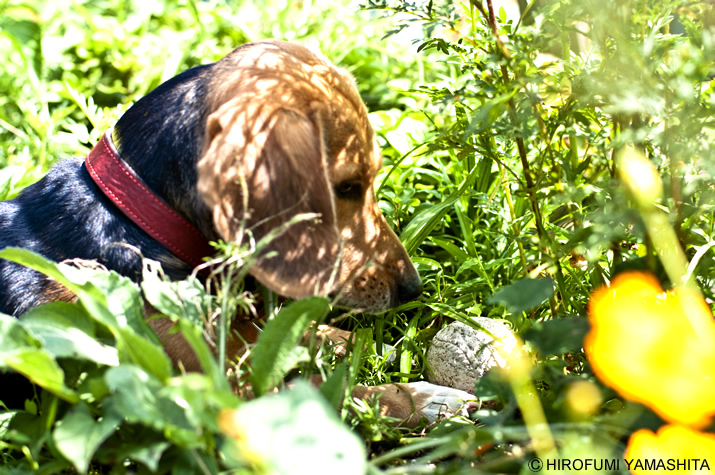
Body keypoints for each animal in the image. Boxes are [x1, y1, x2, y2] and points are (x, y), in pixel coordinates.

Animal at [1, 41, 482, 428]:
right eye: (346, 187)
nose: (413, 290)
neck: (140, 221)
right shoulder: (233, 395)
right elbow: (342, 395)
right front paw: (425, 399)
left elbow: (300, 332)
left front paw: (368, 343)